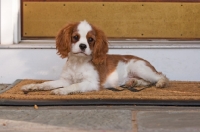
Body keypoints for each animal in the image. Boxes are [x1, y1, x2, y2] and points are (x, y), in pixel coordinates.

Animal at [21, 19, 169, 95]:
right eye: (75, 37)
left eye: (90, 39)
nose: (82, 46)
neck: (78, 62)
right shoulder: (65, 79)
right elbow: (46, 83)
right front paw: (32, 86)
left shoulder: (91, 83)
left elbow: (74, 86)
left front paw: (61, 90)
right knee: (146, 81)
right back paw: (133, 82)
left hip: (141, 69)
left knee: (161, 76)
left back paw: (161, 83)